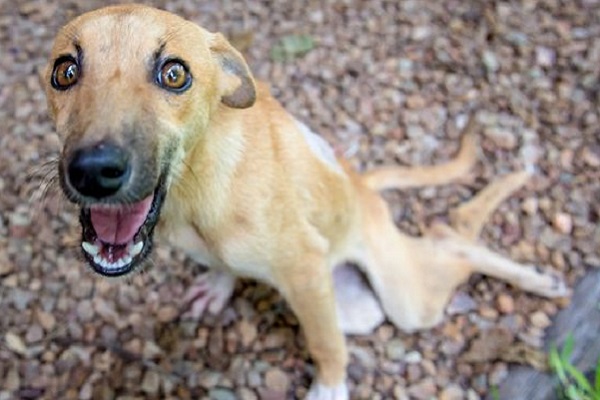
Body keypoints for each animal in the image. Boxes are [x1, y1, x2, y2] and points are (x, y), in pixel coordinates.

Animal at [44, 4, 568, 398]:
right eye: (65, 71)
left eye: (174, 74)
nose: (93, 171)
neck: (197, 191)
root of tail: (361, 184)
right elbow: (224, 267)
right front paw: (218, 285)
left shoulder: (305, 270)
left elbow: (324, 343)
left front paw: (330, 387)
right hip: (360, 309)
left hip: (406, 301)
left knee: (451, 238)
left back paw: (538, 279)